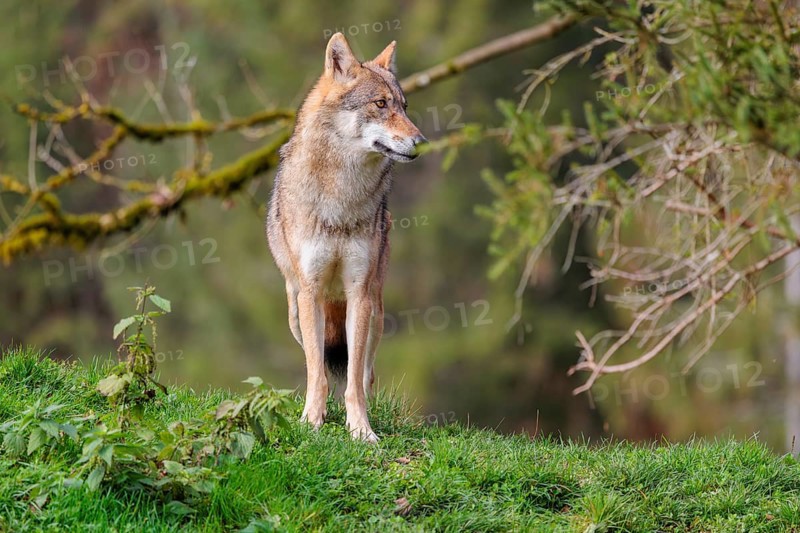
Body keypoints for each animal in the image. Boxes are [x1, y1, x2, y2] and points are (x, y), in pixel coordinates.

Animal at [266, 33, 426, 442]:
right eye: (381, 104)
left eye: (404, 106)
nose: (421, 141)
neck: (341, 196)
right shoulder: (311, 291)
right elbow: (317, 375)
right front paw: (312, 422)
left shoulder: (359, 292)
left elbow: (353, 379)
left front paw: (361, 430)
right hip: (296, 313)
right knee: (318, 364)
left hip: (377, 313)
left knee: (367, 373)